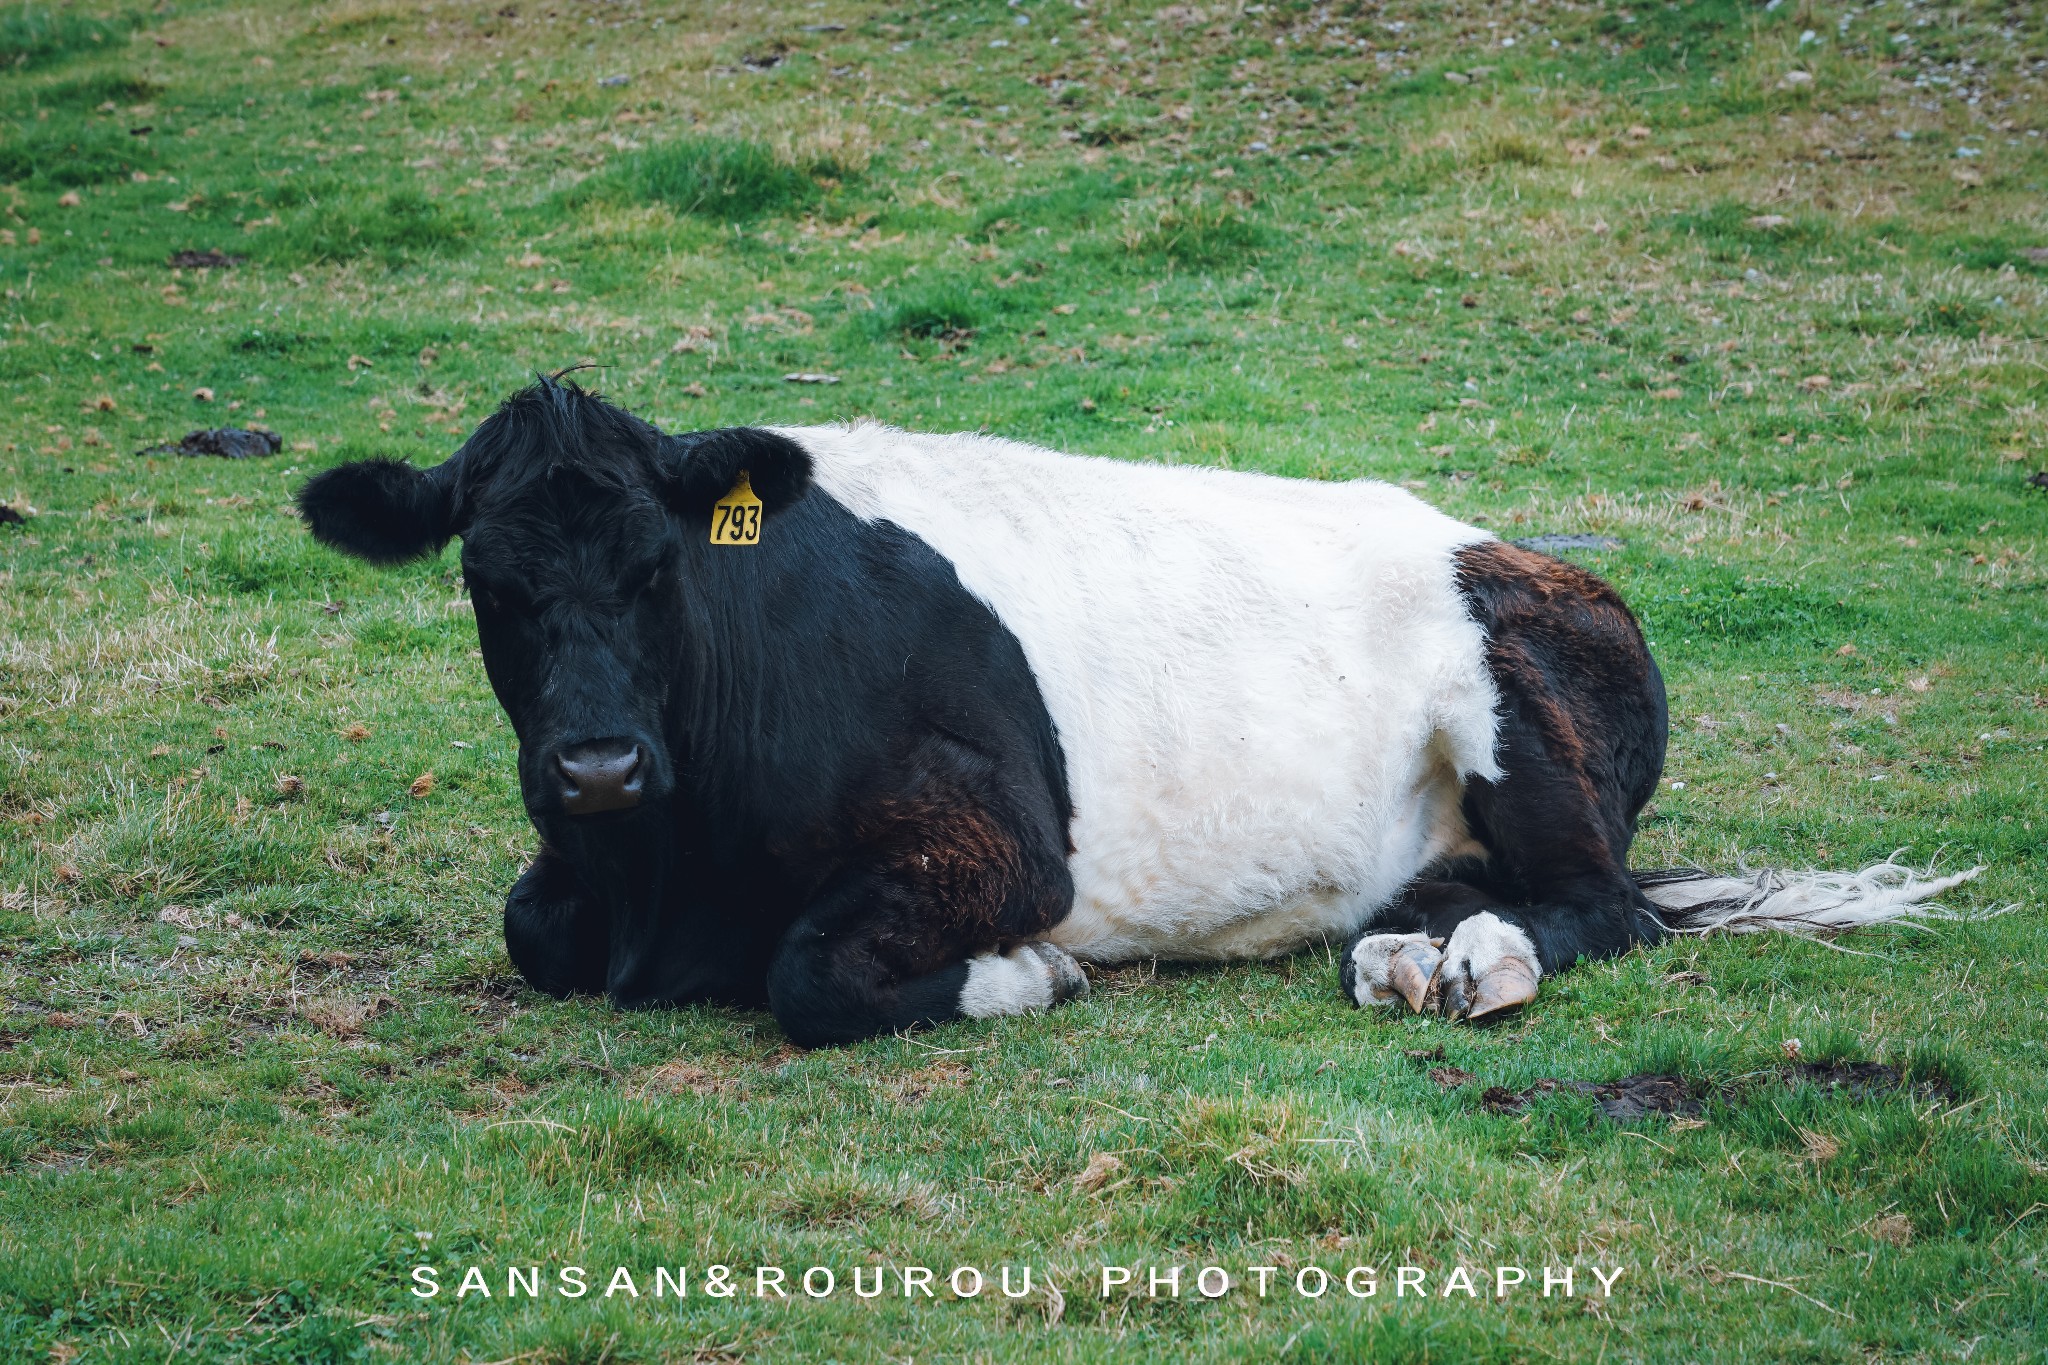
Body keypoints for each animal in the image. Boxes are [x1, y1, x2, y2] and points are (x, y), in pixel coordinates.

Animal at [296, 378, 1974, 1055]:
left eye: (659, 567)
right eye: (490, 580)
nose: (594, 763)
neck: (668, 875)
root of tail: (1530, 552)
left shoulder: (999, 842)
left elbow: (812, 976)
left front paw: (1023, 978)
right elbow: (532, 928)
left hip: (1522, 720)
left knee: (1601, 905)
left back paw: (1476, 967)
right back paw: (1399, 956)